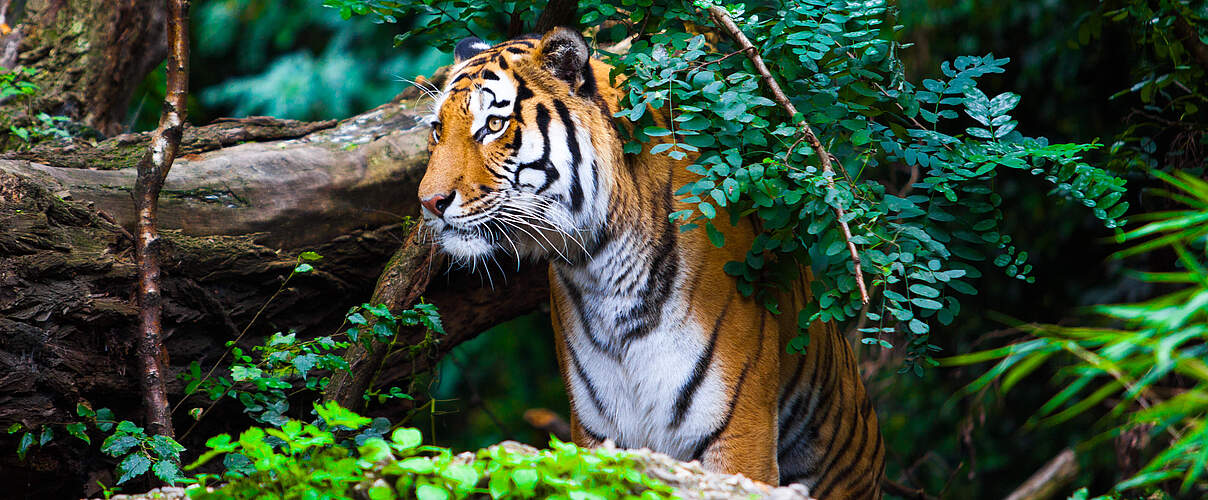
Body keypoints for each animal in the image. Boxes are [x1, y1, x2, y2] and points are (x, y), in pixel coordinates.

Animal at [420, 28, 884, 500]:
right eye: (438, 129)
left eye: (494, 125)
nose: (429, 203)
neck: (601, 268)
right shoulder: (598, 433)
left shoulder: (739, 433)